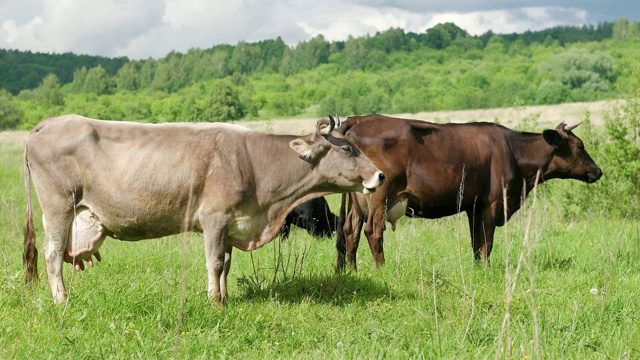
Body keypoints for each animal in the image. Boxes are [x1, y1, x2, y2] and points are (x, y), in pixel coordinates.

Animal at [23, 114, 384, 306]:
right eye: (348, 149)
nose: (380, 175)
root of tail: (48, 123)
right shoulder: (214, 218)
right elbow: (214, 263)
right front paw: (214, 302)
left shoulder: (233, 222)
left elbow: (225, 263)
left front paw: (224, 298)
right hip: (58, 207)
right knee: (52, 254)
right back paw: (61, 300)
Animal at [338, 114, 604, 268]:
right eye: (580, 145)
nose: (598, 171)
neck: (513, 152)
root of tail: (359, 119)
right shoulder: (493, 203)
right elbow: (487, 241)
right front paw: (486, 268)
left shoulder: (473, 205)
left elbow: (476, 241)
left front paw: (477, 268)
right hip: (379, 195)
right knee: (373, 231)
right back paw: (381, 269)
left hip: (358, 199)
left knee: (351, 230)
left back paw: (352, 270)